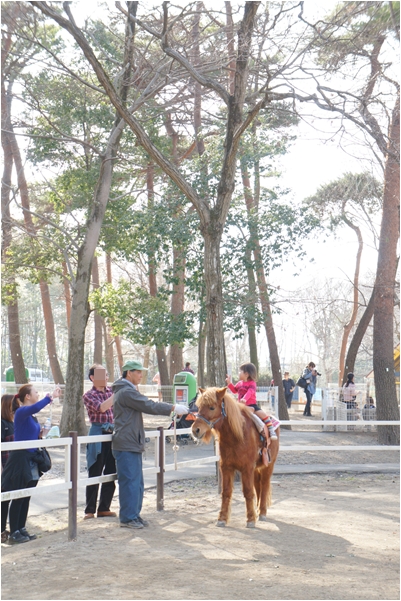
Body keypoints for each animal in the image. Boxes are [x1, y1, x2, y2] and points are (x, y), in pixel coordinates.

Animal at [191, 386, 278, 528]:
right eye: (198, 407)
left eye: (211, 407)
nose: (195, 430)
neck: (237, 436)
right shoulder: (226, 467)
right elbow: (226, 492)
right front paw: (222, 518)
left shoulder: (247, 468)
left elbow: (248, 492)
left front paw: (250, 519)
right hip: (256, 469)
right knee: (258, 486)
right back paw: (258, 510)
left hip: (268, 466)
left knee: (264, 485)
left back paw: (262, 512)